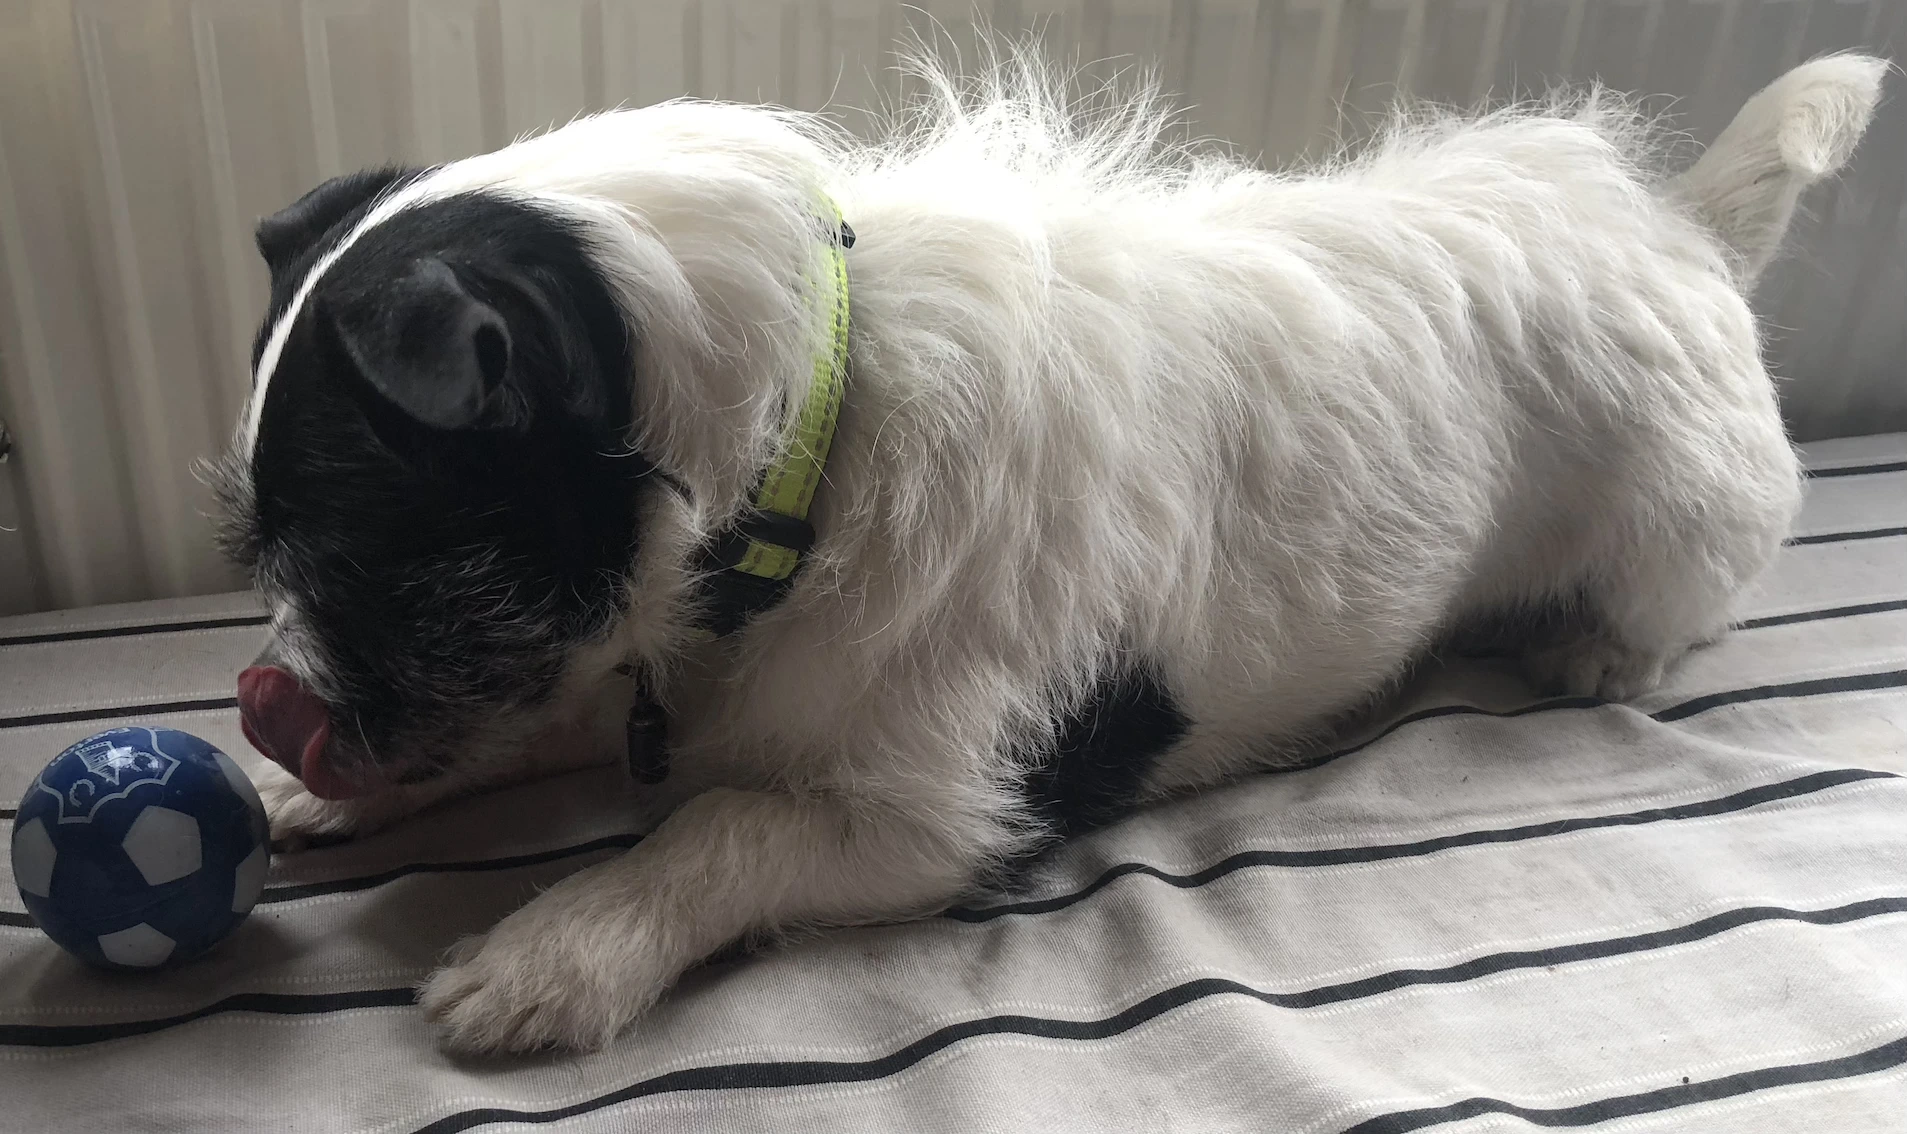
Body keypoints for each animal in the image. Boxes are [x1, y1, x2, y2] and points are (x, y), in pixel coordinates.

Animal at [205, 48, 1876, 1052]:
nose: (267, 708)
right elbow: (567, 713)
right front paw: (317, 794)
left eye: (364, 544)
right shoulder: (636, 663)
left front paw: (554, 948)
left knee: (1674, 603)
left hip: (1683, 522)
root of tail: (1679, 233)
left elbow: (712, 827)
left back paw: (1592, 643)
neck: (811, 430)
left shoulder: (937, 817)